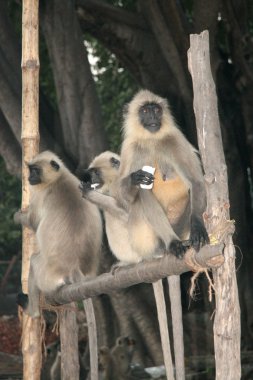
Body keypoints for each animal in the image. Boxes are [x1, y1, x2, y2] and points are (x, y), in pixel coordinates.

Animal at [14, 150, 102, 378]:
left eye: (35, 171)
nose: (30, 177)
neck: (59, 178)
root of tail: (75, 268)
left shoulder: (40, 194)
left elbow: (33, 222)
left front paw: (19, 216)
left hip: (46, 272)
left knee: (34, 262)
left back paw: (32, 310)